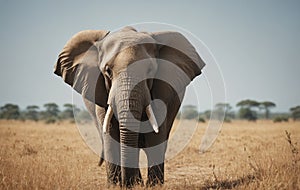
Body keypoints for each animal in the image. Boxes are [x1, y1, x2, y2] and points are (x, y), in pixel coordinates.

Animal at [54, 26, 205, 188]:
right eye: (107, 71)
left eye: (150, 70)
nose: (127, 184)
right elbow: (111, 135)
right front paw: (116, 186)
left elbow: (155, 136)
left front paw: (153, 186)